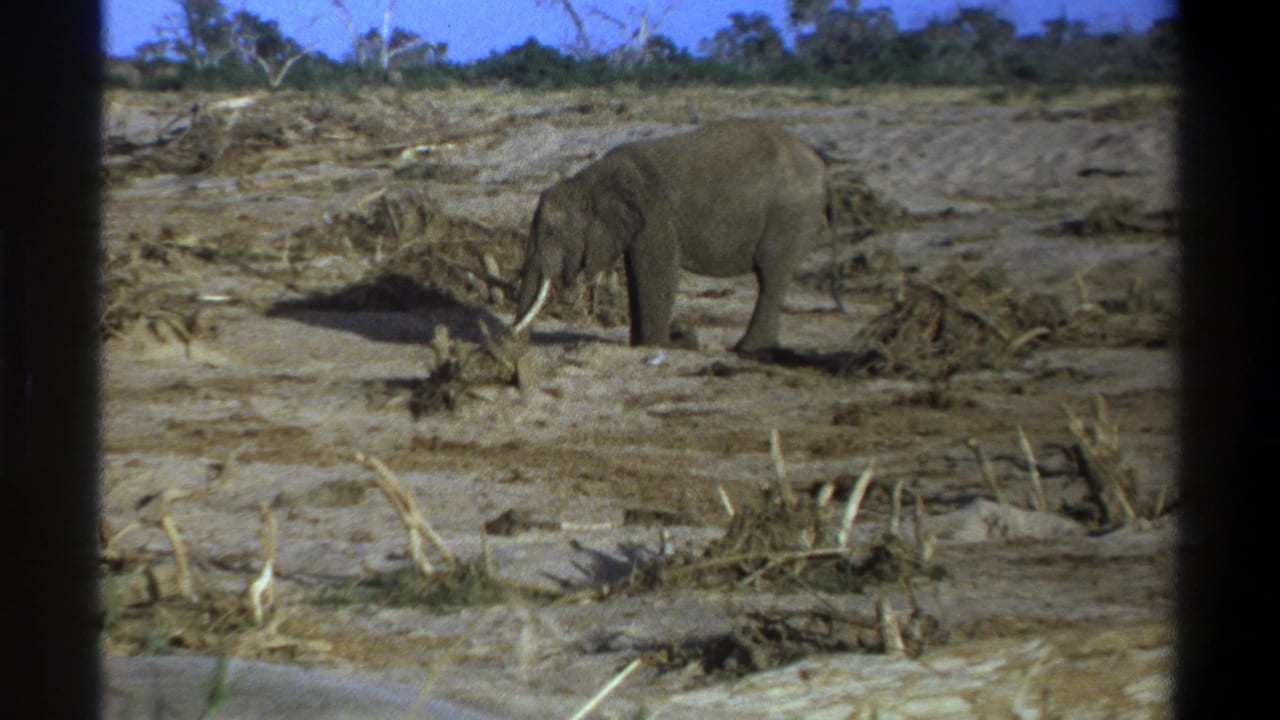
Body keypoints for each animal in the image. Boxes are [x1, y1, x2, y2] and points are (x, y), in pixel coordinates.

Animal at [510, 120, 830, 353]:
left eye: (552, 232)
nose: (517, 344)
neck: (590, 180)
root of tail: (816, 157)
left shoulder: (654, 214)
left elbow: (658, 273)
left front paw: (670, 343)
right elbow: (637, 275)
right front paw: (648, 344)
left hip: (791, 214)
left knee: (771, 273)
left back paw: (746, 350)